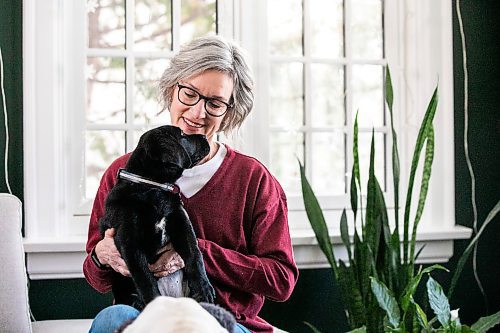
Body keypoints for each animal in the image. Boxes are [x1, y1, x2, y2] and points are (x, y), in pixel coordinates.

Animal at [98, 124, 214, 308]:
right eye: (182, 134)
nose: (204, 136)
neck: (152, 187)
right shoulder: (129, 243)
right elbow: (145, 279)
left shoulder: (181, 223)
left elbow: (195, 255)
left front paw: (204, 288)